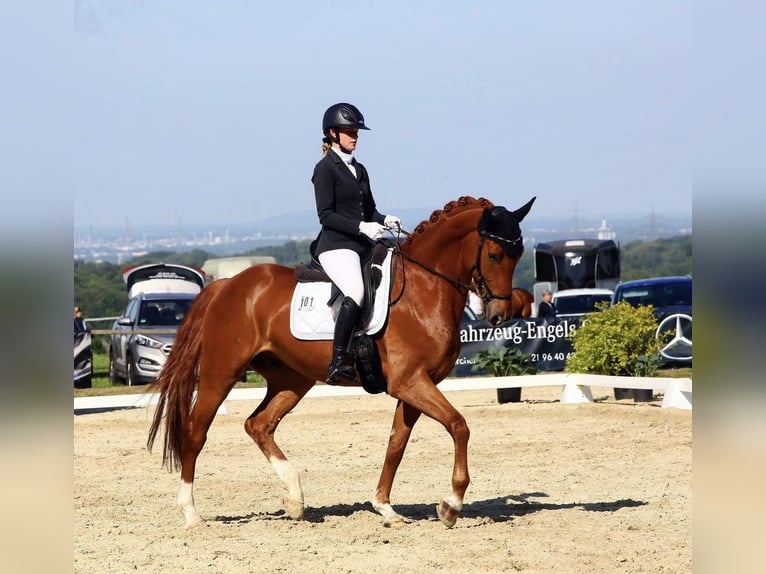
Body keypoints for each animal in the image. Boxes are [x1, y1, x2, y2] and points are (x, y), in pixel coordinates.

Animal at [147, 195, 536, 530]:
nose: (499, 315)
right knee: (196, 431)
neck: (424, 289)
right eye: (495, 254)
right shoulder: (409, 382)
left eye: (519, 254)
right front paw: (451, 505)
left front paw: (386, 508)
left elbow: (397, 443)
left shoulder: (416, 384)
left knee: (259, 424)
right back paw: (191, 514)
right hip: (221, 373)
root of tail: (226, 286)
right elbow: (459, 425)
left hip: (292, 379)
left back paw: (295, 499)